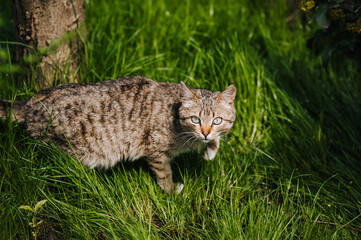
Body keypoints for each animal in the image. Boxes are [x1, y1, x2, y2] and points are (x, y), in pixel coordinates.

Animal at [0, 76, 236, 193]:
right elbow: (164, 174)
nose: (204, 132)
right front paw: (171, 191)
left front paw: (210, 150)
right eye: (195, 119)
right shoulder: (156, 151)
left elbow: (217, 138)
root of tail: (29, 103)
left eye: (217, 120)